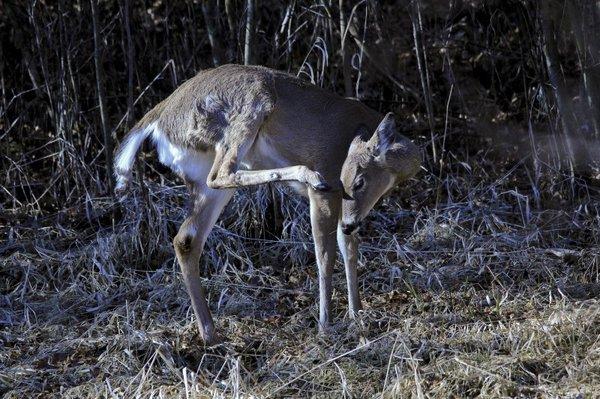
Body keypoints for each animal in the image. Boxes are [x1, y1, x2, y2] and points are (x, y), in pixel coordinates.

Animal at [115, 64, 420, 346]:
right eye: (355, 181)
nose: (349, 223)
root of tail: (159, 117)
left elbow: (349, 250)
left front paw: (357, 314)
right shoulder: (326, 194)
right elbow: (325, 255)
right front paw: (326, 325)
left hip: (200, 178)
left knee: (186, 238)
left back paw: (210, 334)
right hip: (248, 109)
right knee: (223, 174)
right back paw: (307, 175)